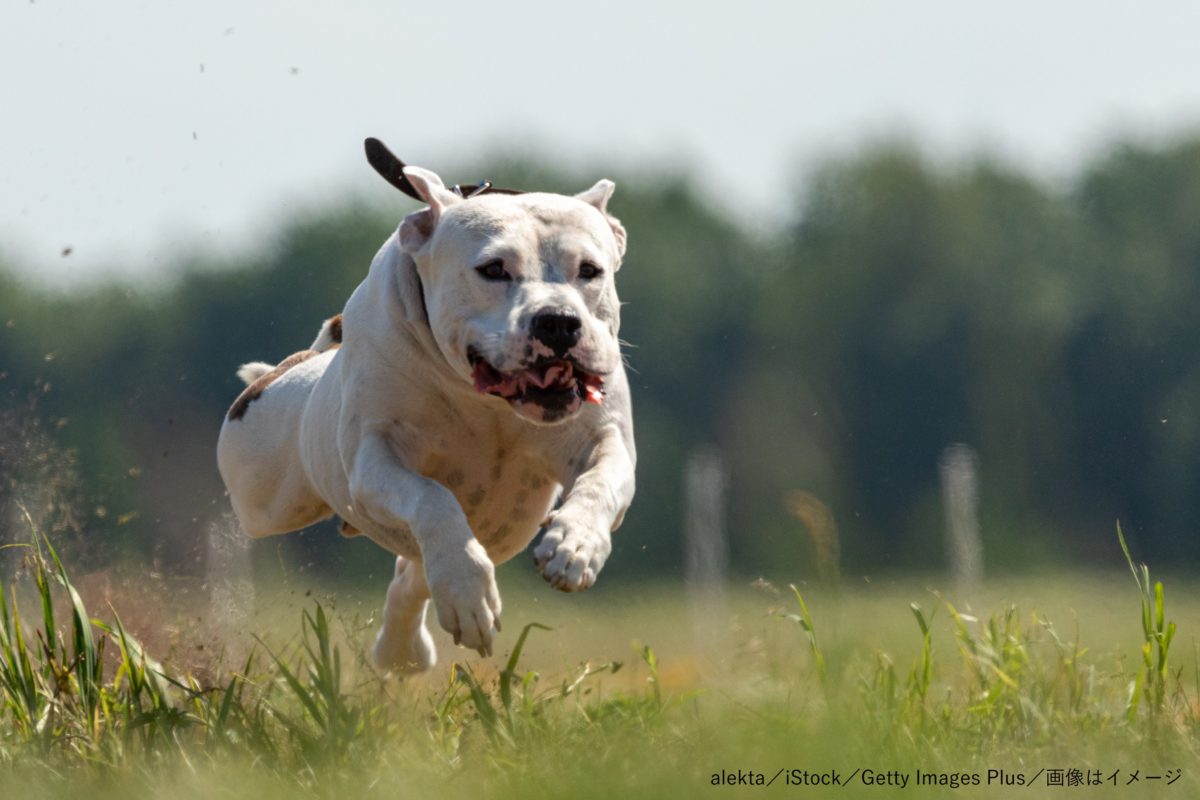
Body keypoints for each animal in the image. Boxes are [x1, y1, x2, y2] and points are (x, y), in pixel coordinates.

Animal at [213, 142, 638, 671]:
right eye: (493, 269)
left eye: (590, 271)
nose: (557, 321)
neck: (486, 401)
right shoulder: (375, 459)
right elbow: (431, 499)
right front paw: (469, 590)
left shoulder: (604, 437)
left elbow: (603, 480)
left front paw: (575, 545)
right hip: (261, 493)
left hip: (505, 526)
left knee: (413, 572)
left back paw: (403, 649)